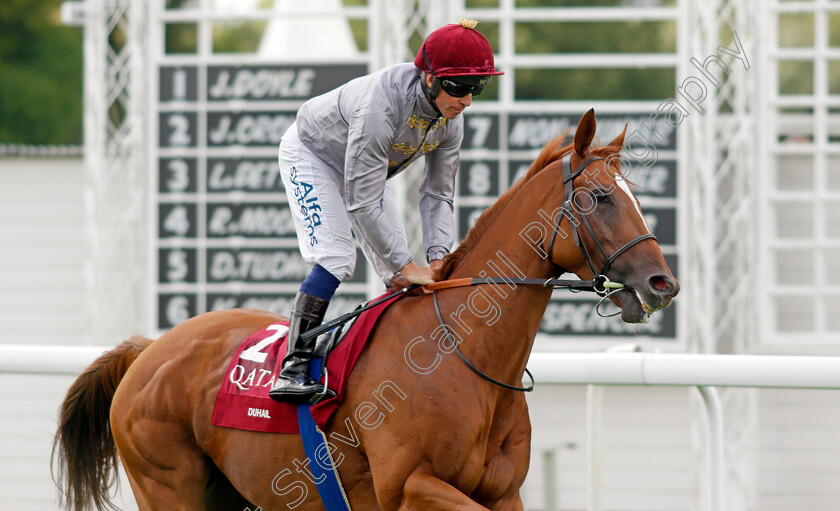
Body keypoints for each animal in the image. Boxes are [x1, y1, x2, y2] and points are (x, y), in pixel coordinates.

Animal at [54, 109, 676, 511]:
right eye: (600, 198)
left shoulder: (502, 492)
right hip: (168, 483)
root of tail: (149, 350)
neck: (462, 356)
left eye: (636, 197)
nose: (662, 283)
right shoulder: (409, 486)